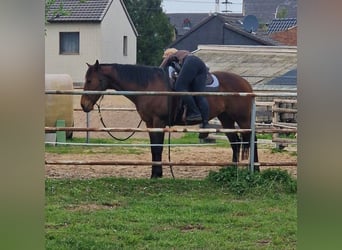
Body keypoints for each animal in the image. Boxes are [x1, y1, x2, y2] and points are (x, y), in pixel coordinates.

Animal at [80, 60, 258, 178]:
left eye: (89, 80)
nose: (83, 105)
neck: (147, 86)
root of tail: (246, 84)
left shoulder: (159, 122)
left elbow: (158, 148)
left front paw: (157, 174)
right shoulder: (150, 123)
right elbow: (153, 148)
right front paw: (155, 173)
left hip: (243, 118)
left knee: (252, 139)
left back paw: (255, 169)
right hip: (226, 119)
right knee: (235, 142)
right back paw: (233, 169)